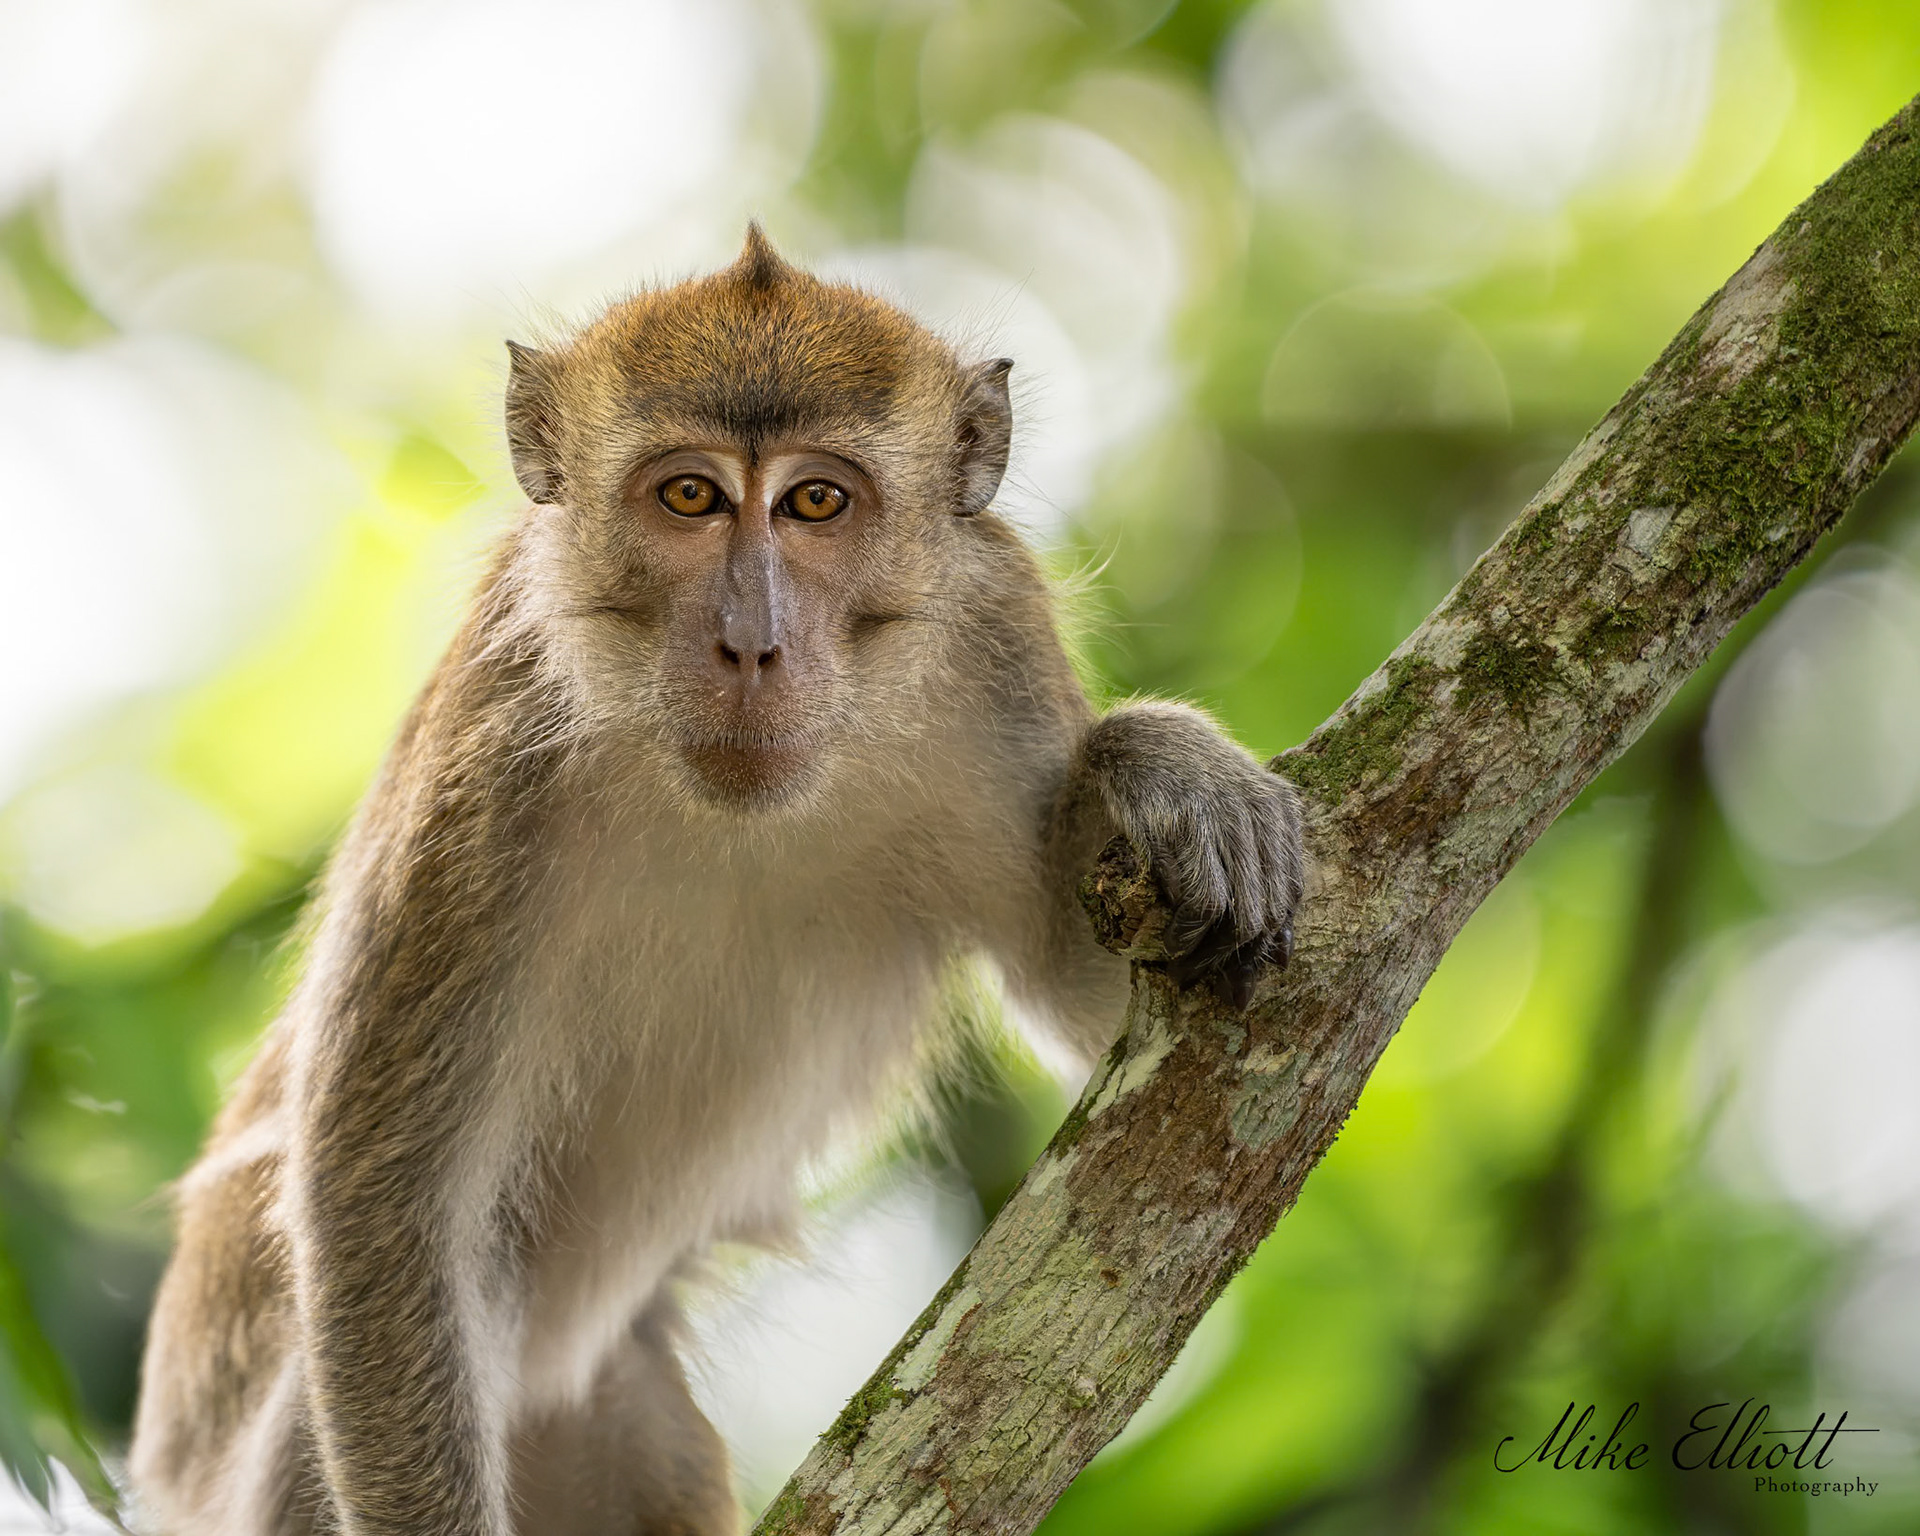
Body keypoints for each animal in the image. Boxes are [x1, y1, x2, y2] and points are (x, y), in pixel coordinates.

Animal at [126, 226, 1304, 1536]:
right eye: (689, 496)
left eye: (815, 501)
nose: (751, 642)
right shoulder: (484, 766)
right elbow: (376, 1200)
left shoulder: (996, 640)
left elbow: (1151, 1045)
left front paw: (1166, 764)